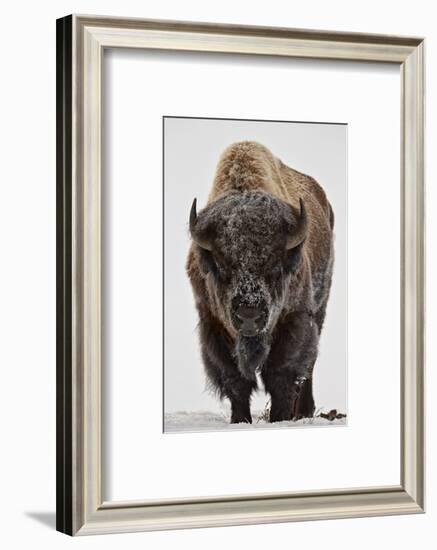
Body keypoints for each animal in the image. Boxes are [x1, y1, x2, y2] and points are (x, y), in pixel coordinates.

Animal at [185, 141, 334, 422]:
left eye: (275, 265)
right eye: (221, 265)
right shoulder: (212, 324)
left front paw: (280, 417)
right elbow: (235, 380)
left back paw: (304, 412)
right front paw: (240, 420)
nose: (249, 315)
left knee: (309, 366)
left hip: (320, 309)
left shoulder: (294, 319)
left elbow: (282, 374)